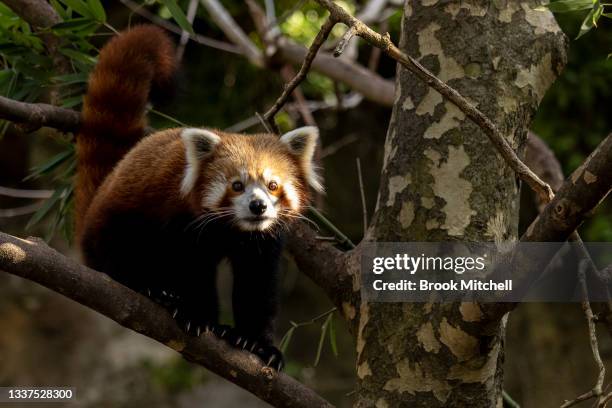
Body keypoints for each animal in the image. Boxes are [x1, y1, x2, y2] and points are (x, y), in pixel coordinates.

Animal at [74, 24, 322, 370]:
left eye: (273, 185)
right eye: (236, 185)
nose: (257, 206)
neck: (234, 229)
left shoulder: (263, 242)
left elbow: (257, 286)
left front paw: (257, 343)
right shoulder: (183, 222)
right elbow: (193, 270)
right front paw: (199, 316)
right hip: (118, 222)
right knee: (122, 251)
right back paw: (151, 288)